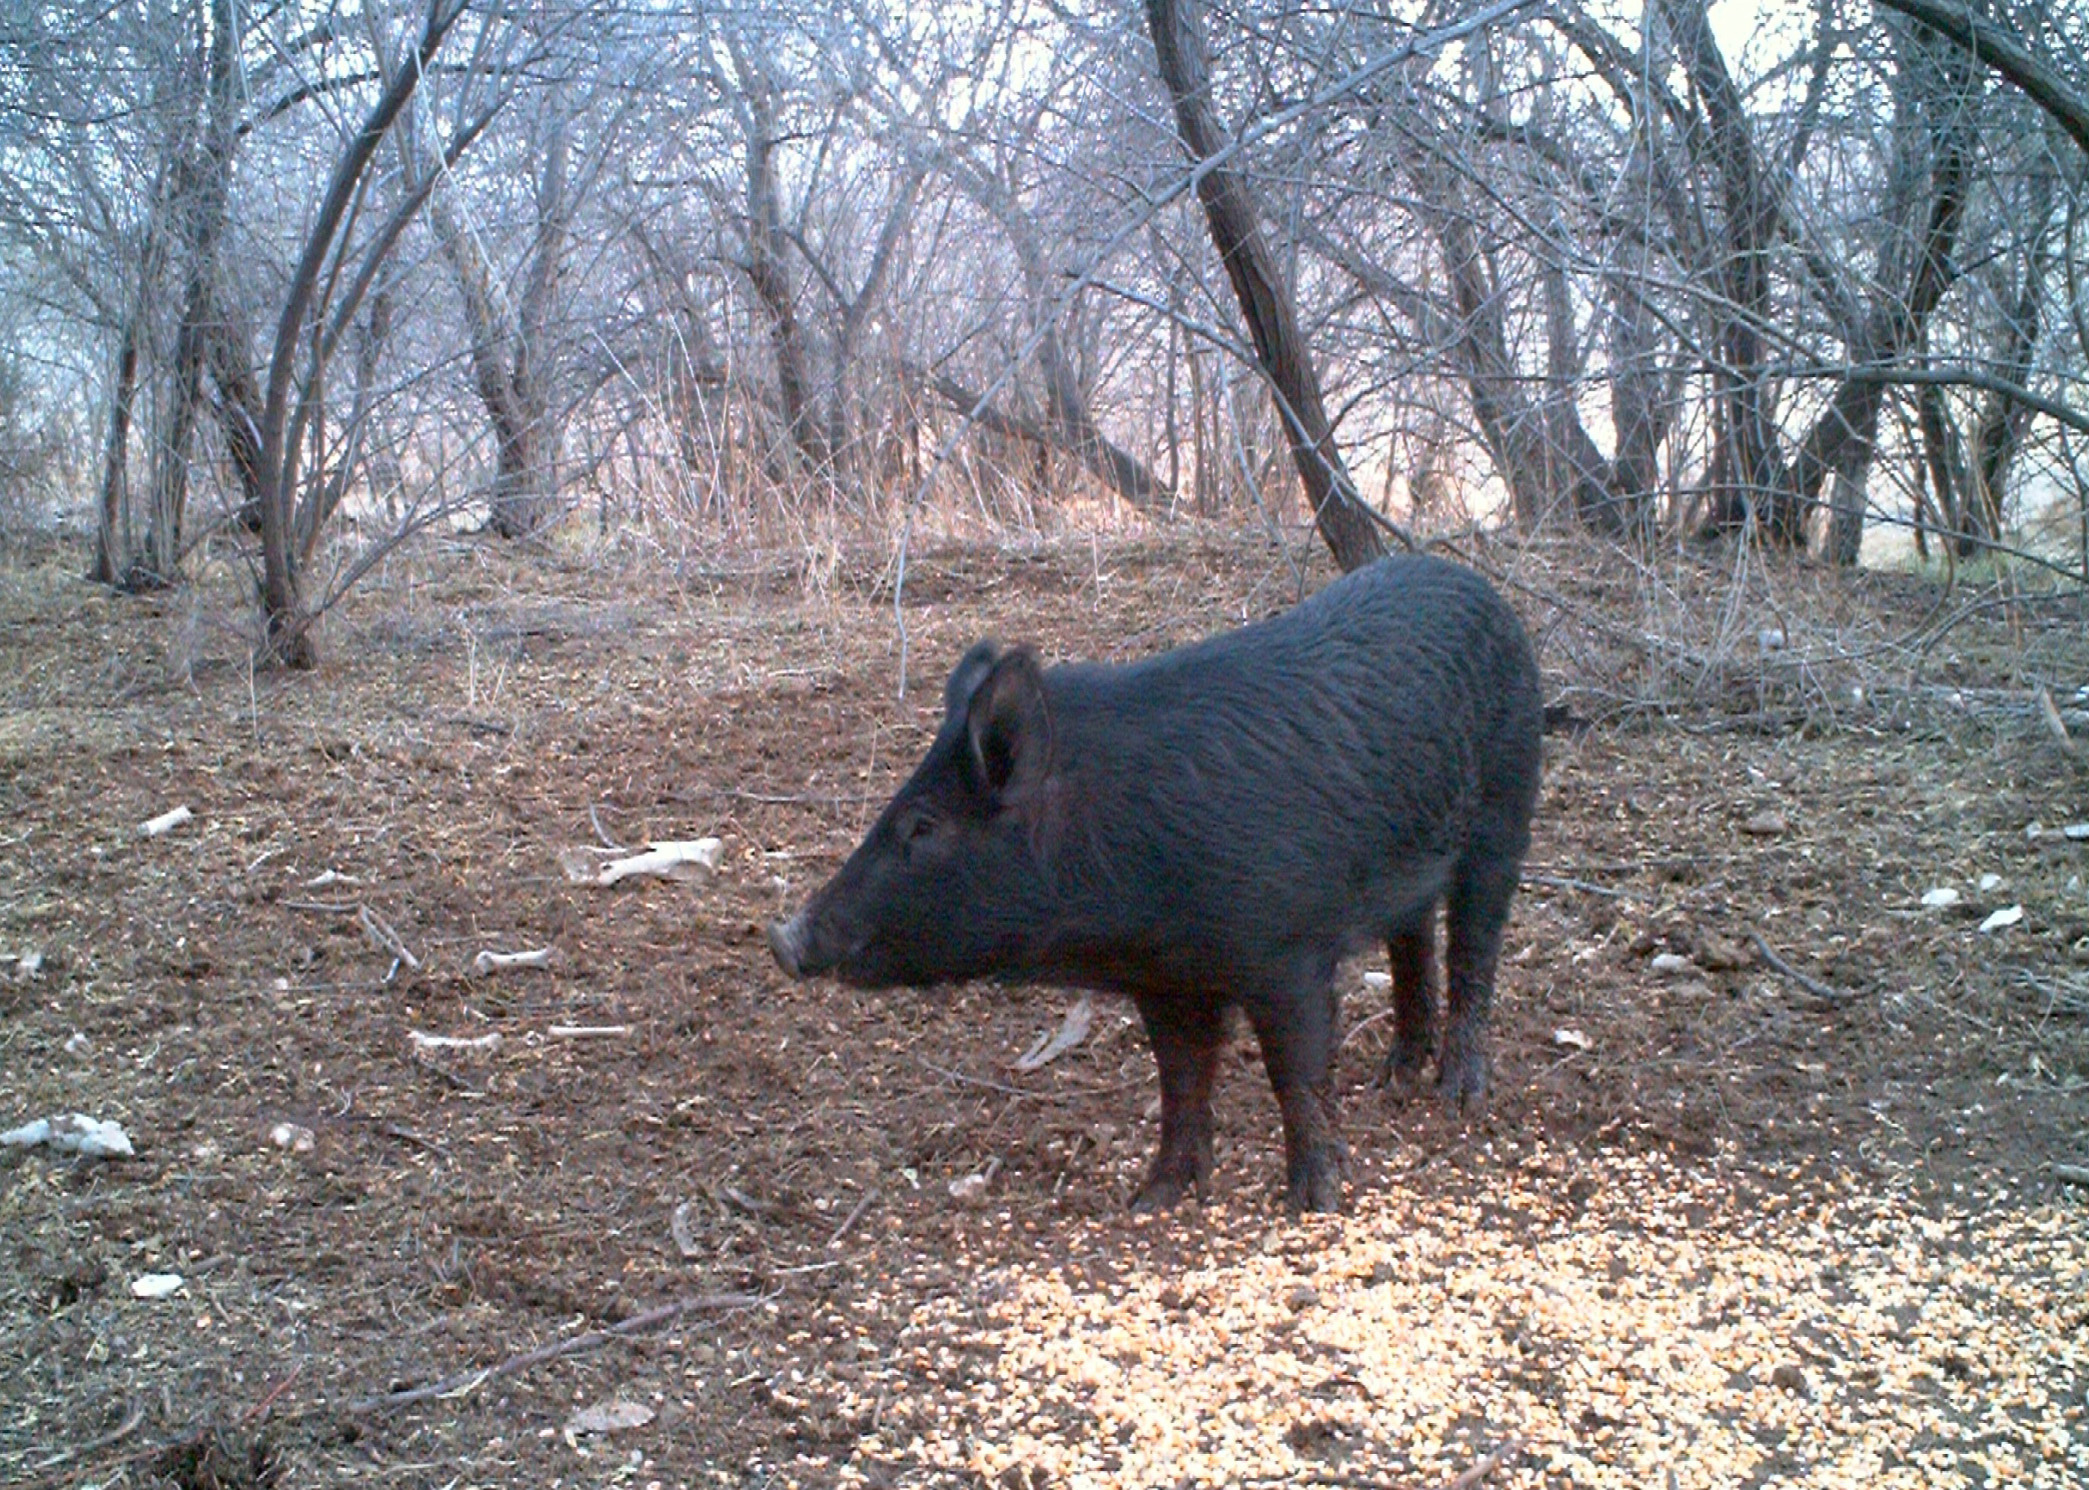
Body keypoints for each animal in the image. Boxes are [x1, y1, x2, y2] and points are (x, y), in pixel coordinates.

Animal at [767, 553, 1542, 1212]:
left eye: (922, 826)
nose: (784, 936)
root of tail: (1484, 590)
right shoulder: (1166, 980)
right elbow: (1180, 1081)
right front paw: (1153, 1200)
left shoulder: (1286, 951)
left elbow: (1294, 1073)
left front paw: (1312, 1203)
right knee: (1412, 942)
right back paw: (1393, 1080)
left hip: (1506, 808)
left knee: (1474, 947)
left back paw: (1457, 1097)